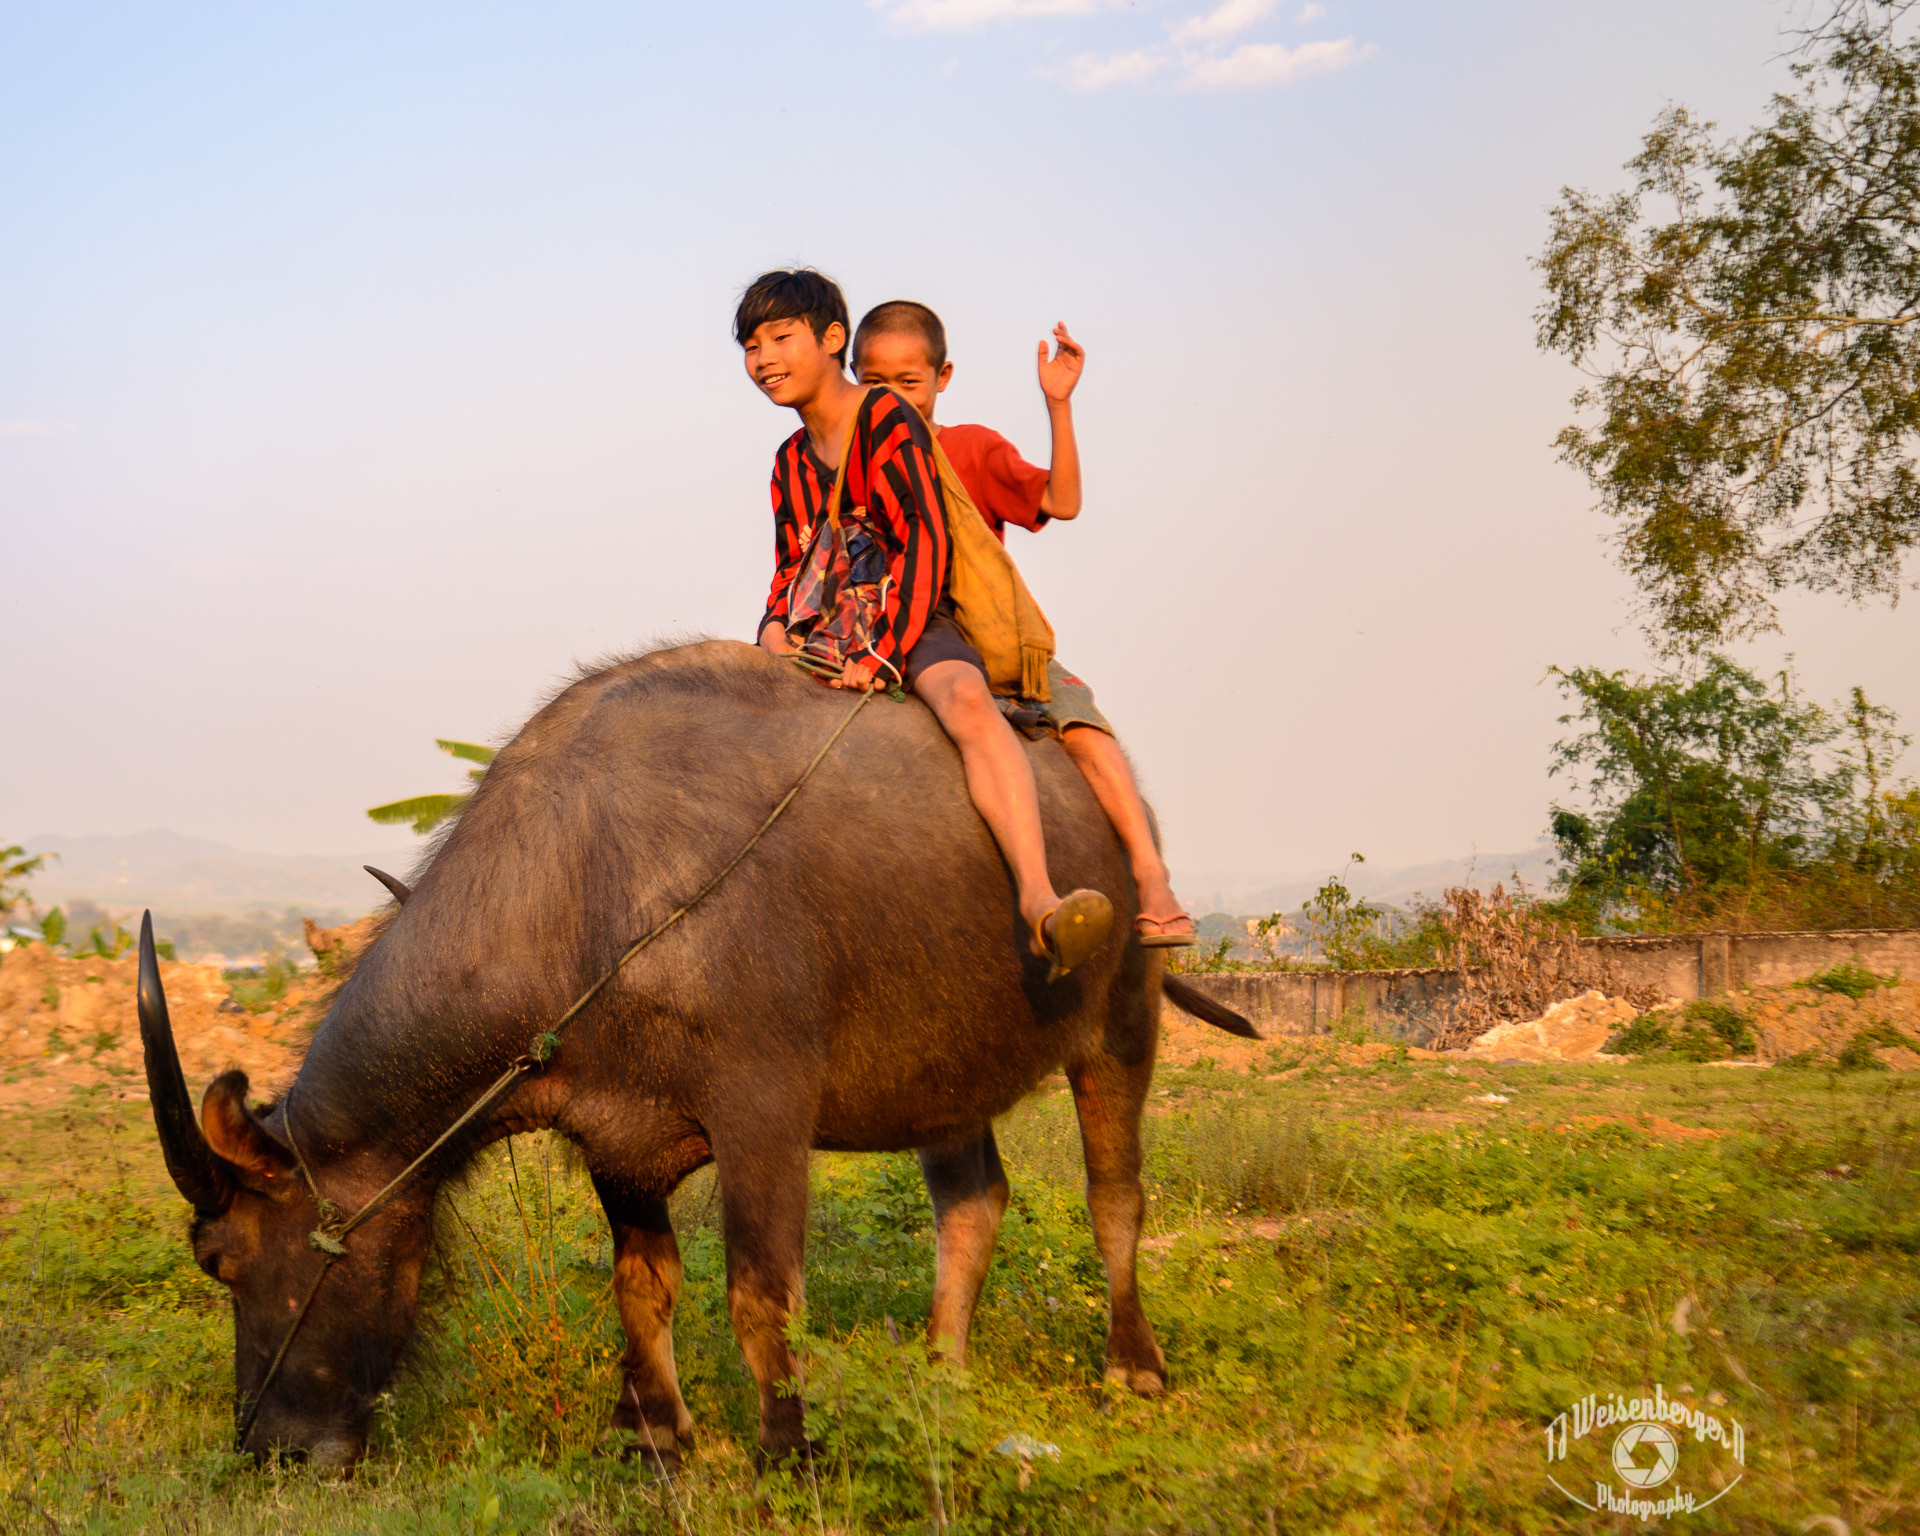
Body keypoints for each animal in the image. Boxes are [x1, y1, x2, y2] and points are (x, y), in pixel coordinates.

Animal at [139, 640, 1252, 1472]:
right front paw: (654, 1433)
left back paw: (1133, 1366)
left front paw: (790, 1451)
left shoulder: (764, 1112)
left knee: (1116, 1196)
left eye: (220, 1257)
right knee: (973, 1203)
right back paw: (942, 1371)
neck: (586, 893)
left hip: (1122, 1019)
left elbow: (762, 1295)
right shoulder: (616, 1138)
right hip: (948, 1077)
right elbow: (644, 1284)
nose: (270, 1448)